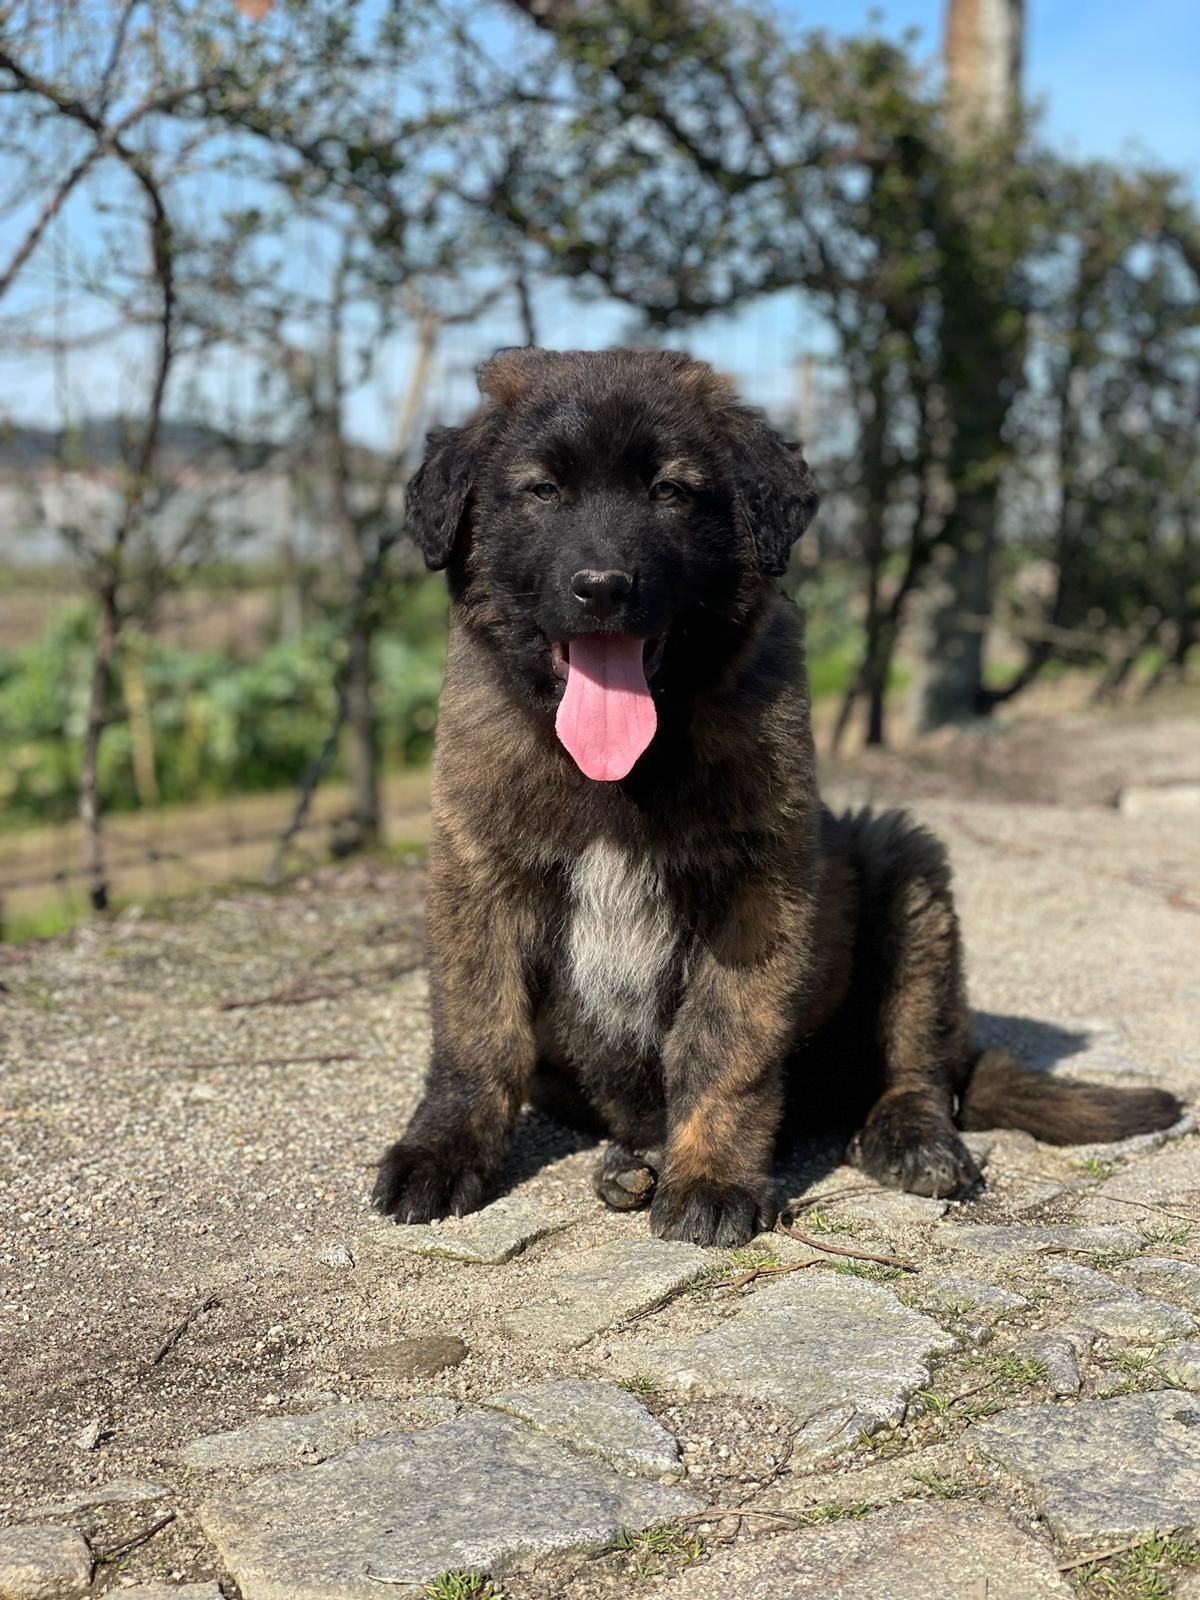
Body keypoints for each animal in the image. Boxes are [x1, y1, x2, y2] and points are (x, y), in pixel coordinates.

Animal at [374, 350, 1184, 1248]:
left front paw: (712, 1175)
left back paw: (912, 1139)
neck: (625, 764)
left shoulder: (757, 889)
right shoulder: (479, 877)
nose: (603, 587)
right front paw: (442, 1150)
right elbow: (474, 1035)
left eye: (670, 491)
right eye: (542, 490)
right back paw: (634, 1159)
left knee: (920, 1062)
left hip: (904, 866)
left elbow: (725, 1043)